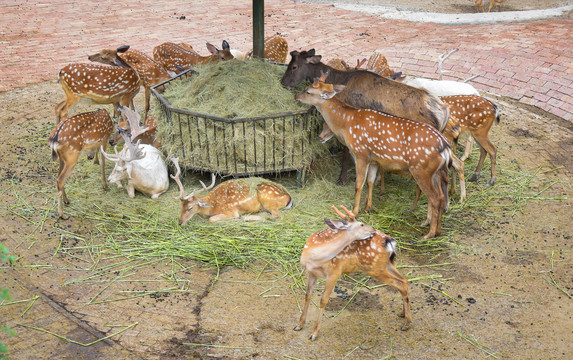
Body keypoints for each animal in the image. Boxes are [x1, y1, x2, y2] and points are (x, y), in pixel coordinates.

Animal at [294, 76, 452, 239]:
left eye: (308, 91)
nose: (296, 96)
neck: (347, 123)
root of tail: (445, 147)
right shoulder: (374, 159)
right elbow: (370, 181)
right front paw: (368, 207)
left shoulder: (360, 153)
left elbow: (359, 184)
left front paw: (354, 211)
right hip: (434, 172)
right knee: (440, 196)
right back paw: (435, 228)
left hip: (421, 170)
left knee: (434, 198)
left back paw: (429, 233)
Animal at [294, 205, 412, 340]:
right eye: (361, 224)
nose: (373, 229)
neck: (315, 258)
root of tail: (390, 241)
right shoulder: (311, 273)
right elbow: (307, 295)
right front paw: (299, 325)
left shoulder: (334, 272)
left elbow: (323, 300)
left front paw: (314, 334)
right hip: (386, 265)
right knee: (404, 281)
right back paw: (403, 314)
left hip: (374, 268)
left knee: (400, 283)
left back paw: (407, 324)